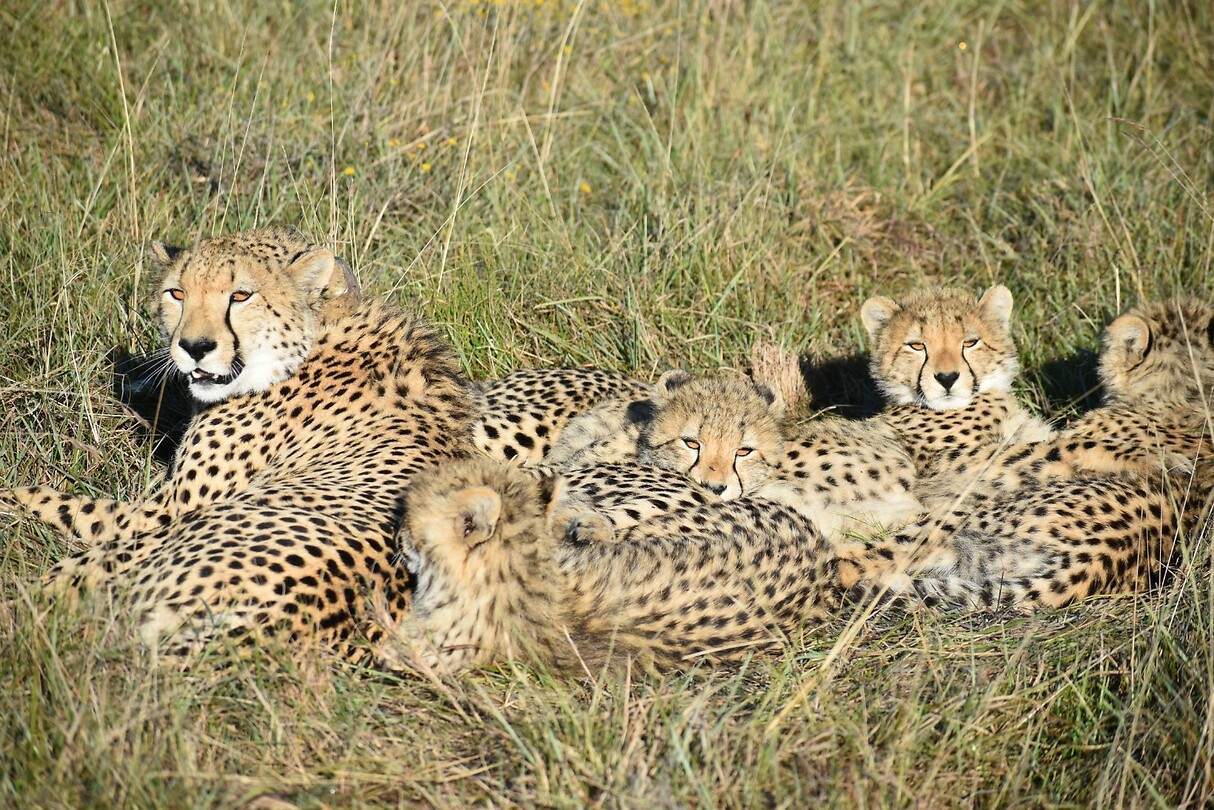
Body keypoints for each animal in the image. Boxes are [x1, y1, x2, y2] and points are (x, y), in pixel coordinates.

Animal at [2, 228, 481, 660]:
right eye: (177, 293)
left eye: (241, 296)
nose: (194, 347)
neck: (319, 328)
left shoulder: (161, 513)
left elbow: (50, 500)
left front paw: (9, 496)